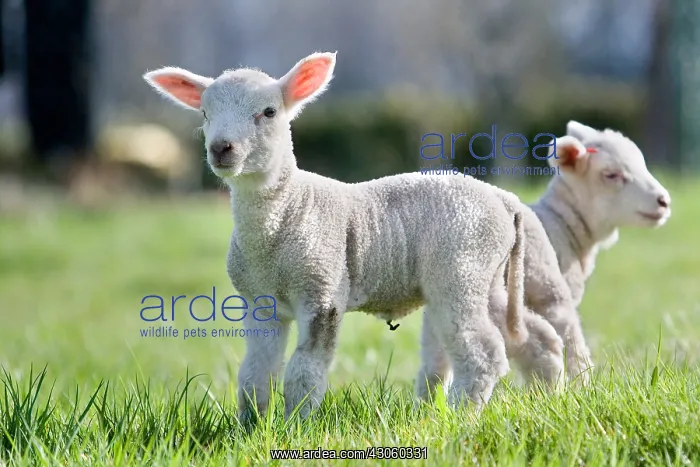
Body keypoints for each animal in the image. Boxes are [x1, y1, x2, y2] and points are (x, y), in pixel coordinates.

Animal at [143, 52, 532, 422]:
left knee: (482, 354)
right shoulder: (259, 303)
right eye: (205, 113)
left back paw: (461, 415)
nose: (221, 148)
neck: (287, 213)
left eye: (268, 112)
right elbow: (255, 373)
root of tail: (501, 197)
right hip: (481, 278)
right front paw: (251, 425)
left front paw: (295, 426)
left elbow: (303, 371)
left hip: (461, 266)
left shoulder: (321, 292)